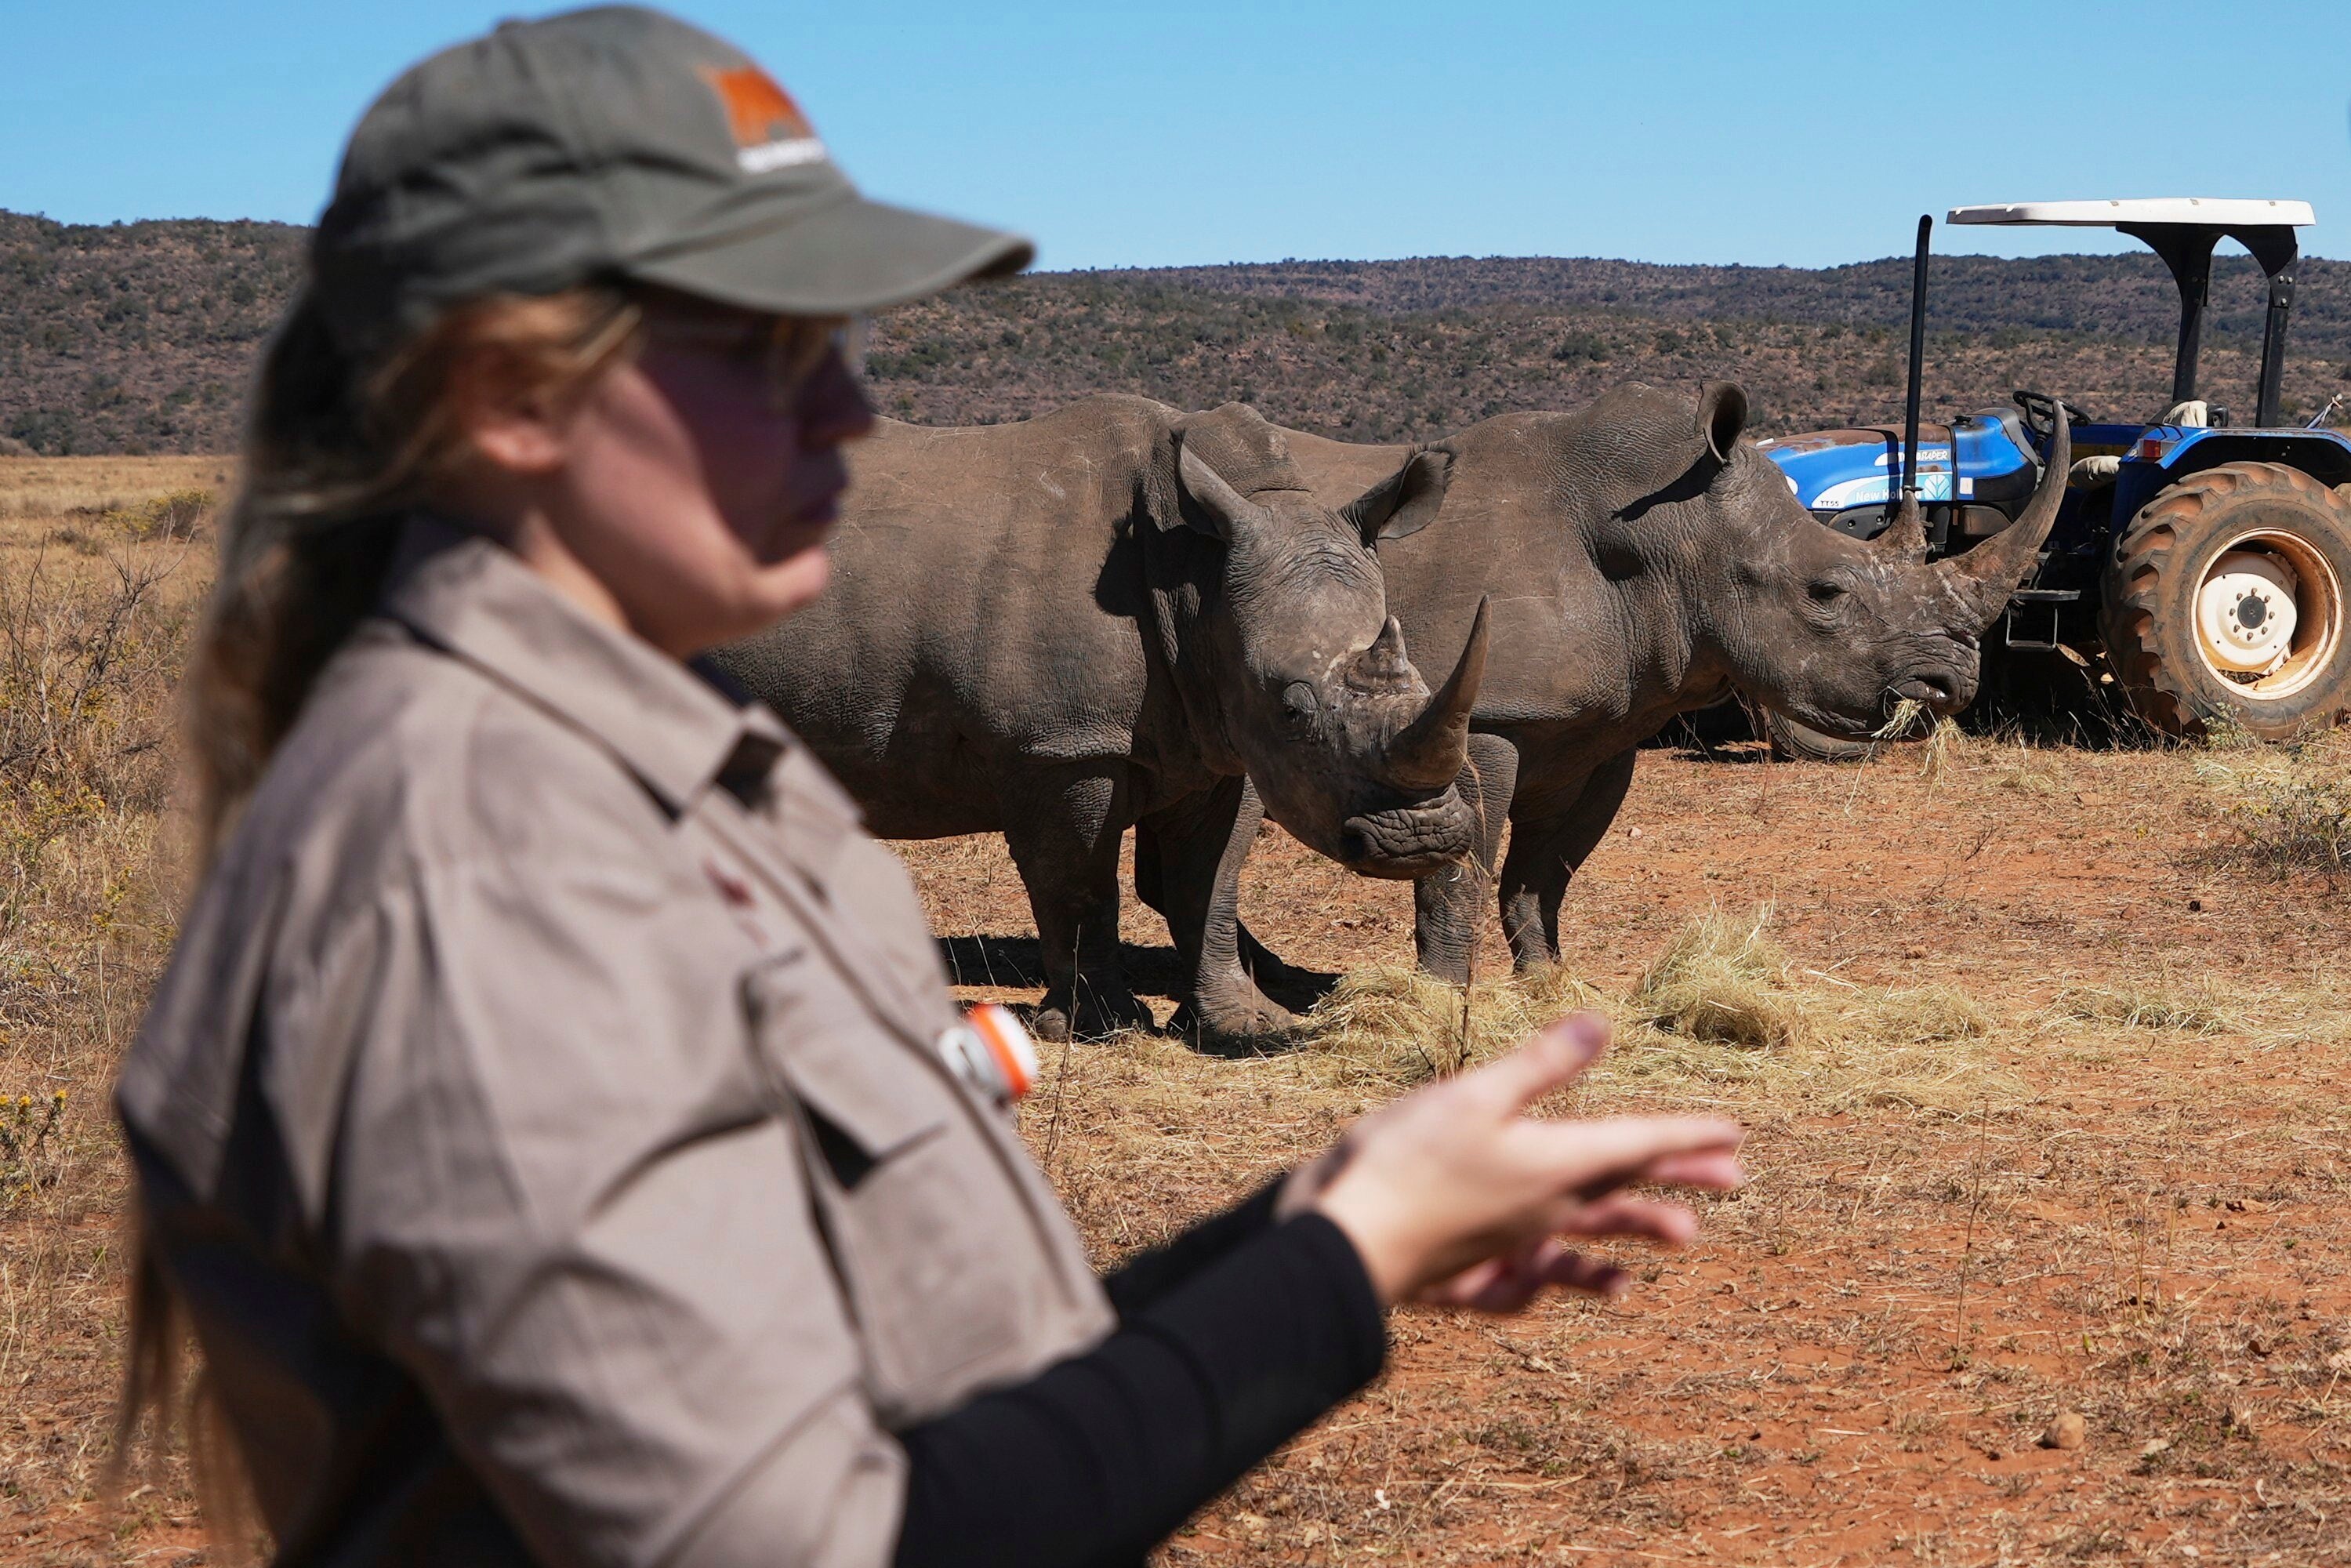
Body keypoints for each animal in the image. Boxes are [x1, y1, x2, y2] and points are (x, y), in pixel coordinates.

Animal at [713, 395, 1489, 1040]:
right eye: (1294, 710)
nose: (1422, 839)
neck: (1196, 577)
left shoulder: (1221, 738)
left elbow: (1208, 883)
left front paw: (1243, 1023)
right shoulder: (1061, 745)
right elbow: (1079, 882)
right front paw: (1099, 1027)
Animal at [1155, 380, 2066, 988]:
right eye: (1825, 592)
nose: (1951, 679)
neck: (1677, 535)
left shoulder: (1602, 726)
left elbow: (1546, 870)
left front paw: (1551, 983)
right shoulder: (1483, 717)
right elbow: (1460, 869)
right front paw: (1442, 996)